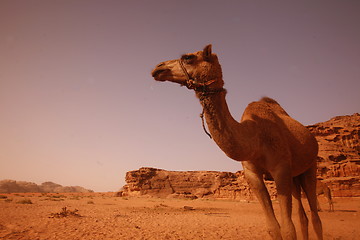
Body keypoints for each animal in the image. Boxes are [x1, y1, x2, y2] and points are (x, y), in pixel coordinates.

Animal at [151, 45, 324, 240]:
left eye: (188, 57)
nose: (158, 67)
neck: (256, 137)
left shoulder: (281, 169)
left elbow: (288, 228)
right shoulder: (252, 172)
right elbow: (273, 227)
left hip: (310, 167)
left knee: (315, 217)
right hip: (295, 175)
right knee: (303, 216)